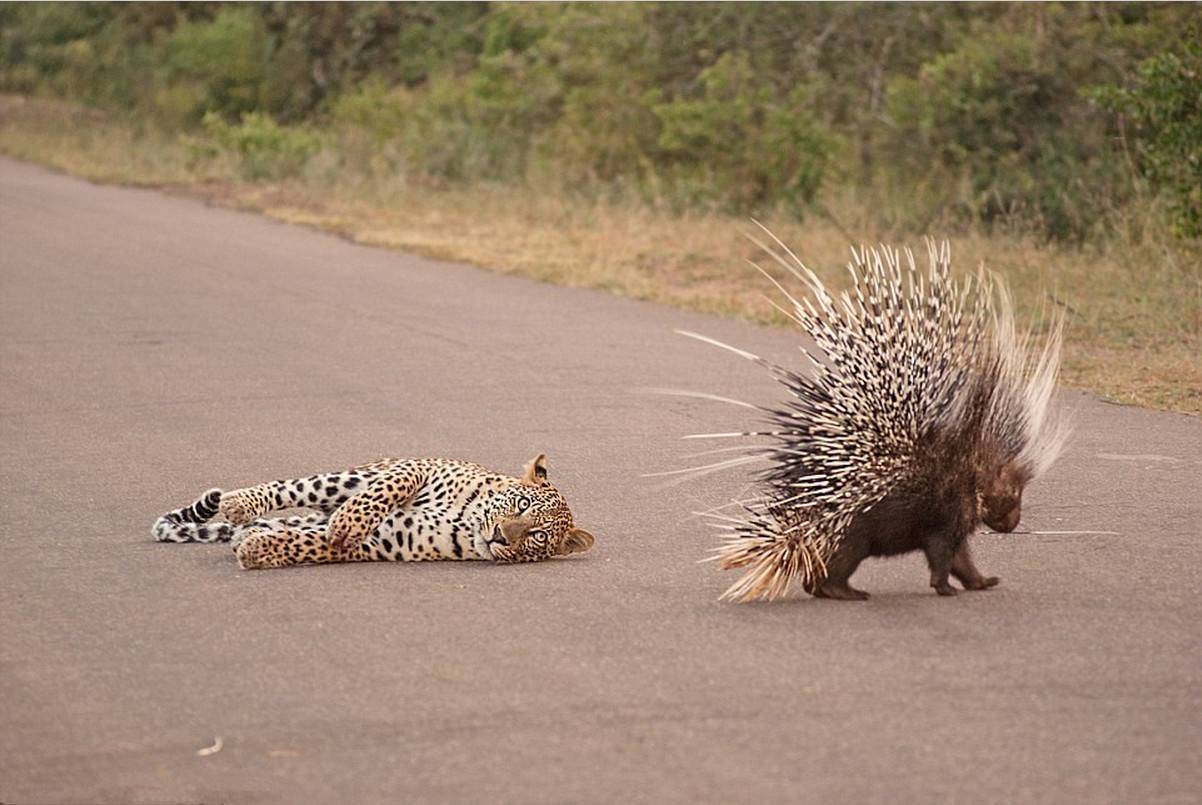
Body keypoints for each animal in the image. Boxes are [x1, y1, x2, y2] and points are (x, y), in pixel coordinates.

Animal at [155, 456, 596, 571]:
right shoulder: (421, 466)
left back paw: (249, 534)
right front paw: (350, 519)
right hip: (347, 477)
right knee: (290, 488)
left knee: (297, 524)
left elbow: (314, 545)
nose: (502, 536)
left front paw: (258, 550)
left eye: (538, 536)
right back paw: (239, 504)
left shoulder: (389, 541)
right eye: (521, 505)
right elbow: (388, 490)